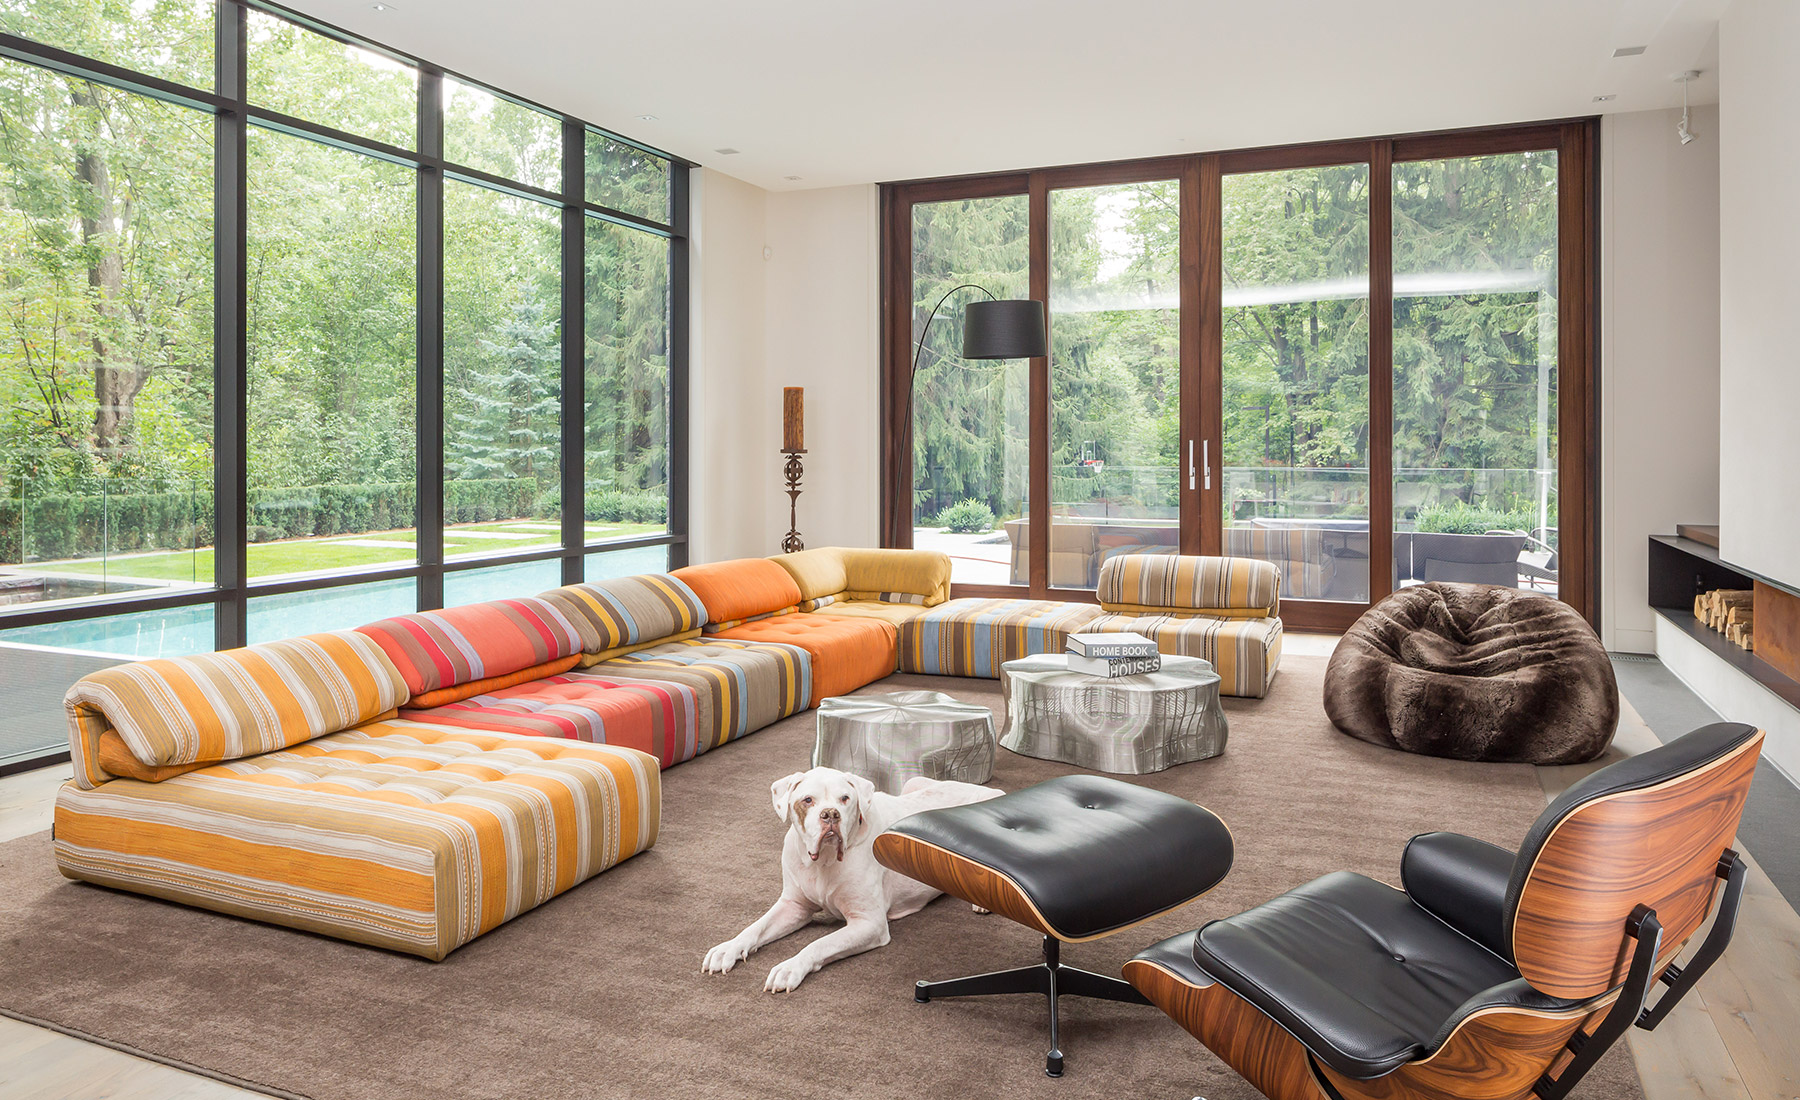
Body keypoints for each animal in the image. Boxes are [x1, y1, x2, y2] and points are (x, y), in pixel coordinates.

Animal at [702, 770, 1008, 993]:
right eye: (808, 800)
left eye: (845, 798)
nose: (830, 815)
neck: (824, 861)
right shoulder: (793, 907)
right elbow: (755, 928)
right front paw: (728, 948)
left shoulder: (868, 924)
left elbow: (820, 944)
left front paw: (790, 967)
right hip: (913, 783)